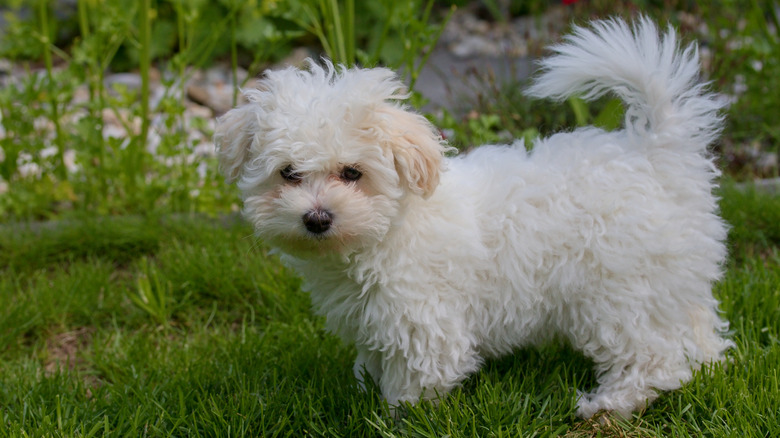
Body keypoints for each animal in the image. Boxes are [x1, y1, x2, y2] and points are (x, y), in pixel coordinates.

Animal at [216, 18, 736, 418]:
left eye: (352, 173)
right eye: (288, 173)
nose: (317, 218)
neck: (390, 230)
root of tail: (655, 152)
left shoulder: (424, 322)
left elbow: (413, 385)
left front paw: (394, 417)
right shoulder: (374, 320)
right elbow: (374, 362)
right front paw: (364, 389)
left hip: (619, 294)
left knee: (655, 359)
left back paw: (610, 404)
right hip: (671, 284)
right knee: (698, 333)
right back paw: (710, 366)